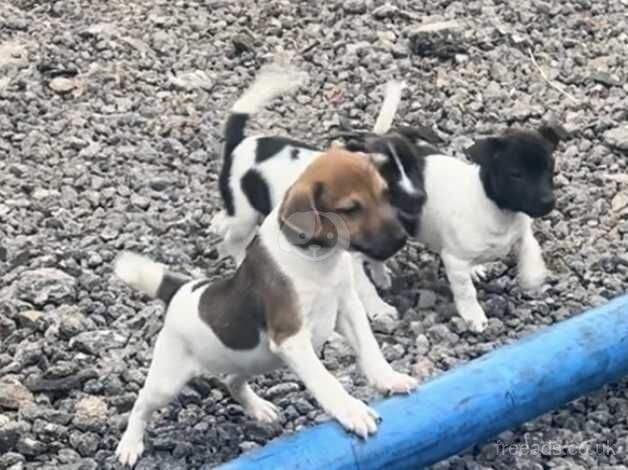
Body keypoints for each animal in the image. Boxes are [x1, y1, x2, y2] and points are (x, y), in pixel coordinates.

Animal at [113, 146, 418, 466]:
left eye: (384, 193)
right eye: (350, 209)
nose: (401, 239)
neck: (317, 259)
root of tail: (181, 290)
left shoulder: (348, 307)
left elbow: (370, 349)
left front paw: (390, 379)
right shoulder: (291, 338)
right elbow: (326, 380)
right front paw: (352, 411)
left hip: (249, 360)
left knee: (232, 380)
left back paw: (258, 408)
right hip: (167, 381)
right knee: (141, 405)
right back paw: (130, 445)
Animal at [350, 123, 568, 332]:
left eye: (549, 167)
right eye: (516, 174)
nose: (549, 202)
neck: (498, 210)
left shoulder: (521, 229)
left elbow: (531, 247)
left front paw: (533, 276)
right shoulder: (454, 260)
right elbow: (466, 291)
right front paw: (473, 316)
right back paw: (377, 304)